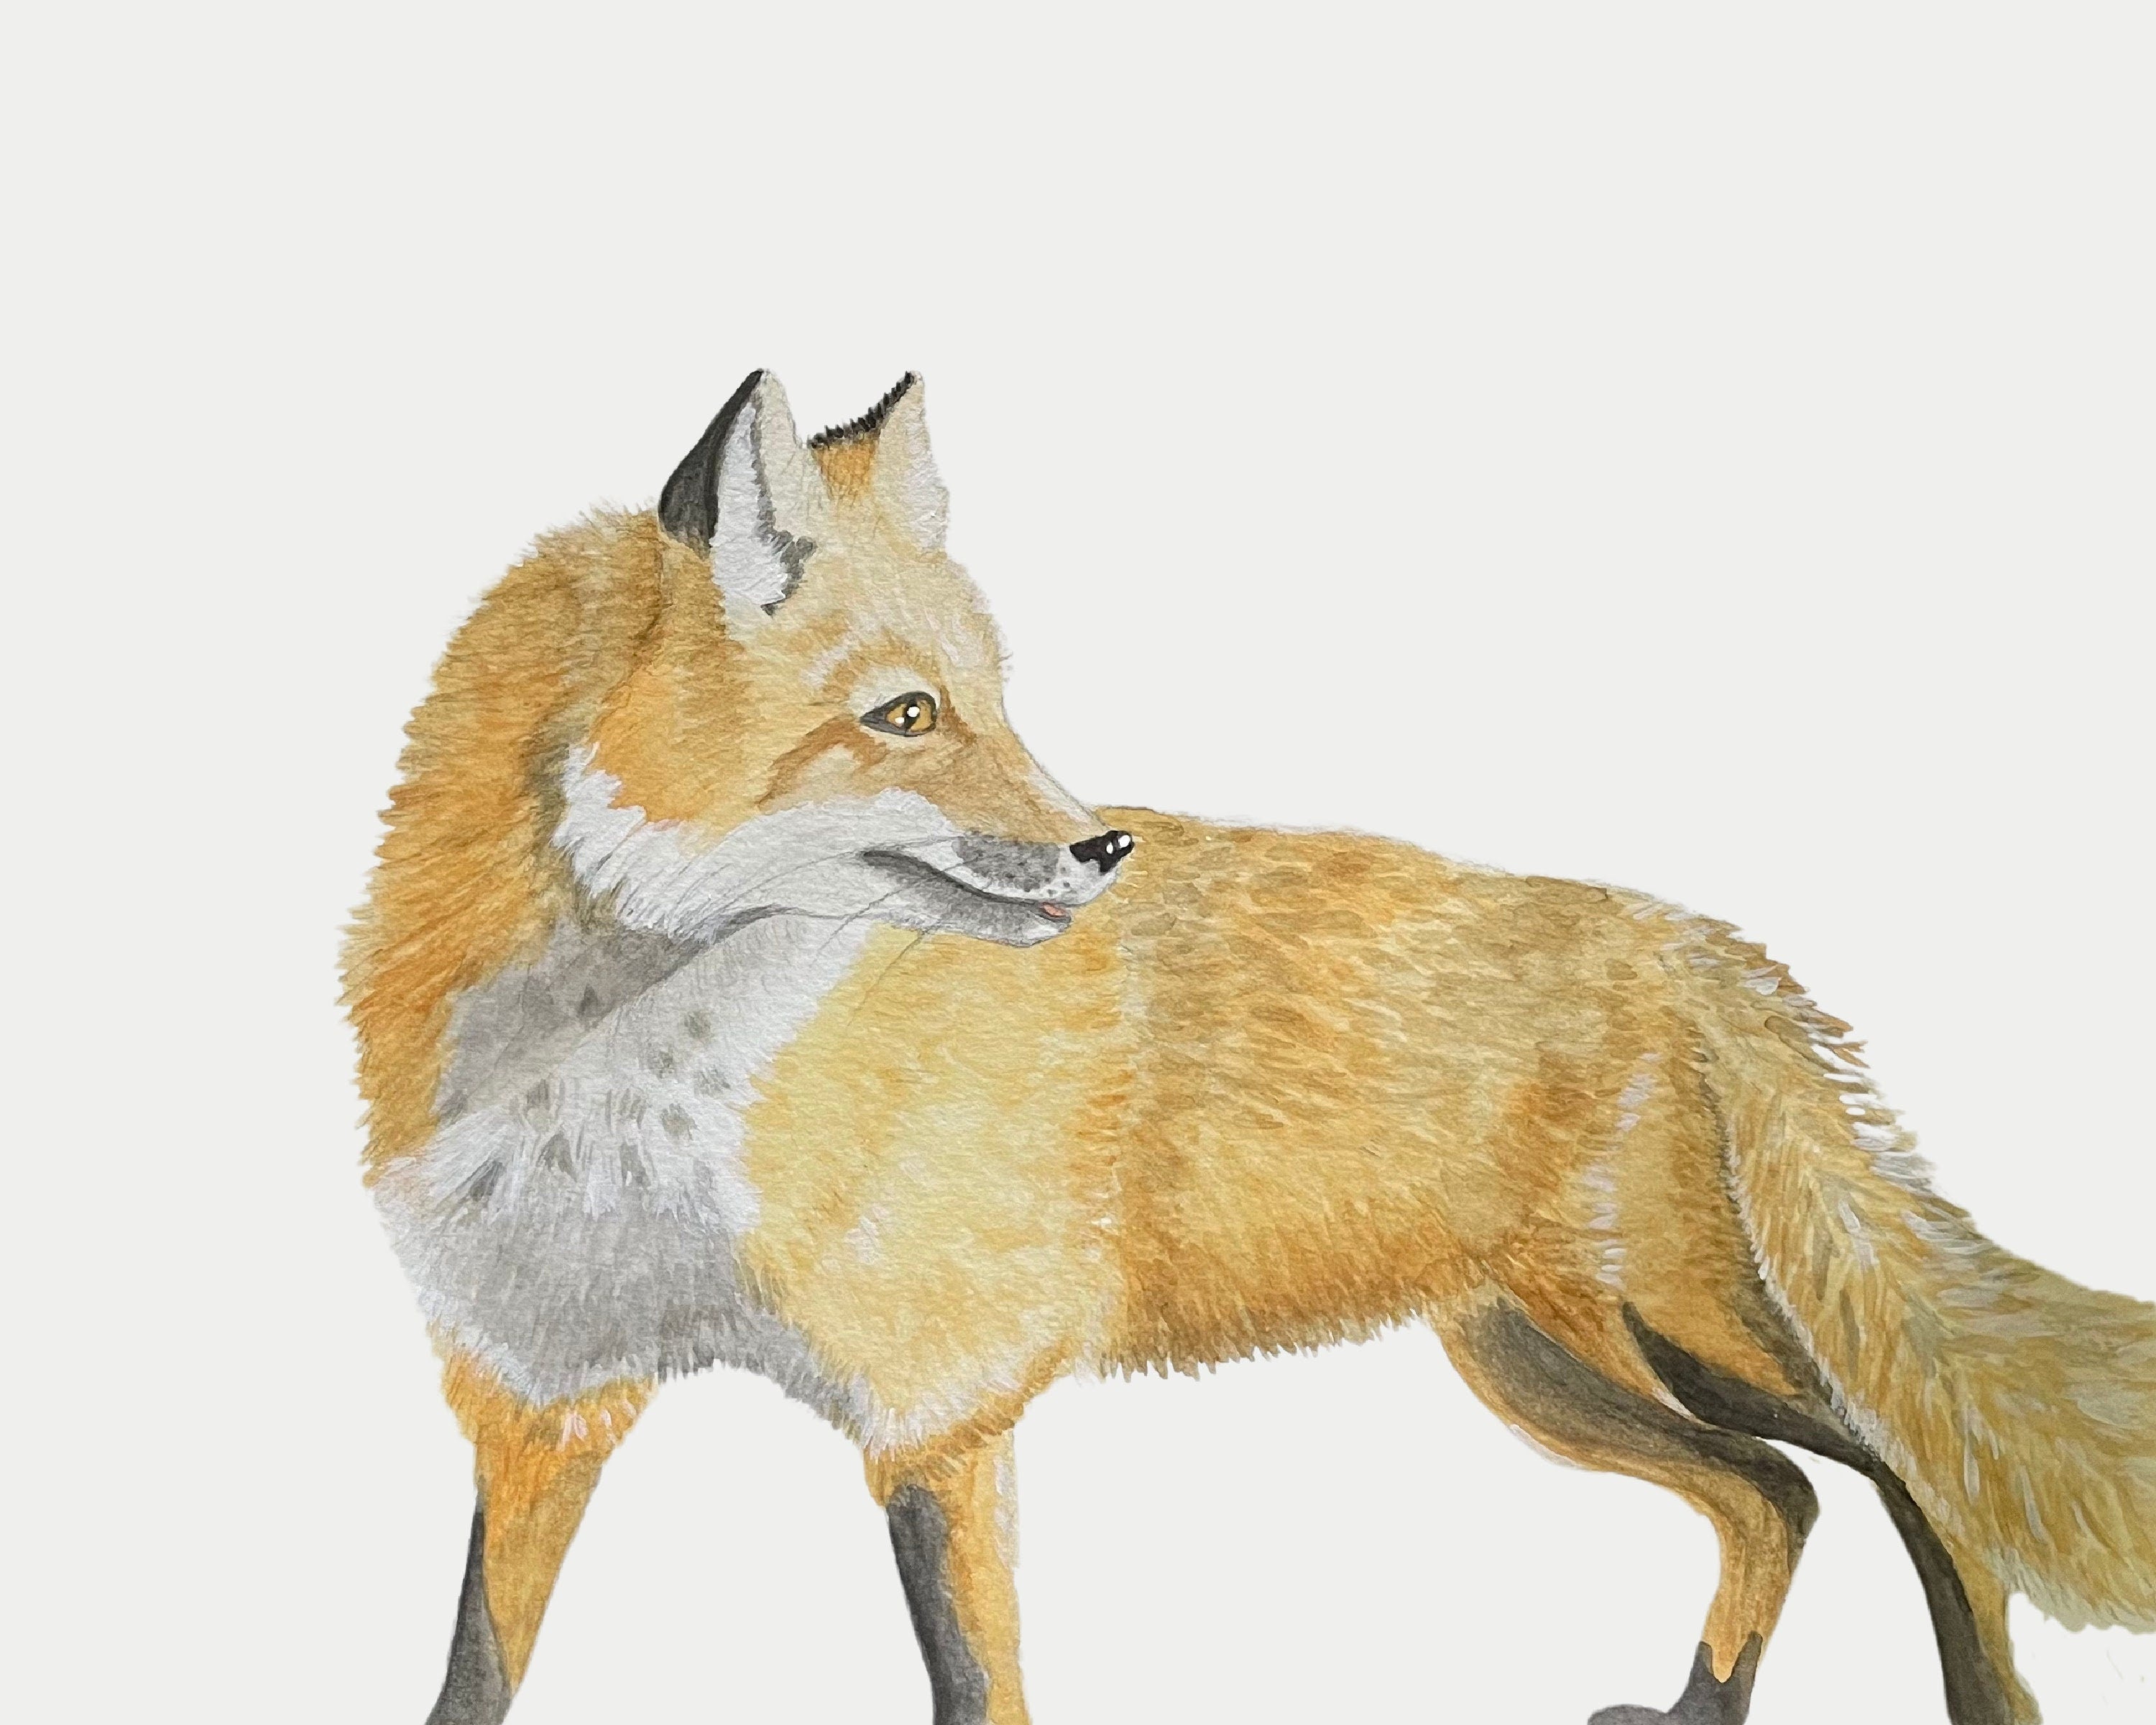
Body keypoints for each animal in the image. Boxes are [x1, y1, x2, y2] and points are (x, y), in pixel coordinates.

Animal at [345, 369, 2156, 1725]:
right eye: (907, 715)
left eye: (996, 698)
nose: (1101, 849)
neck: (626, 1084)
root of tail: (1694, 938)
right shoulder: (539, 1393)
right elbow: (473, 1675)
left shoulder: (941, 1408)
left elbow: (972, 1684)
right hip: (1542, 1363)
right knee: (1778, 1498)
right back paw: (1699, 1712)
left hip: (1681, 1322)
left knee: (1914, 1476)